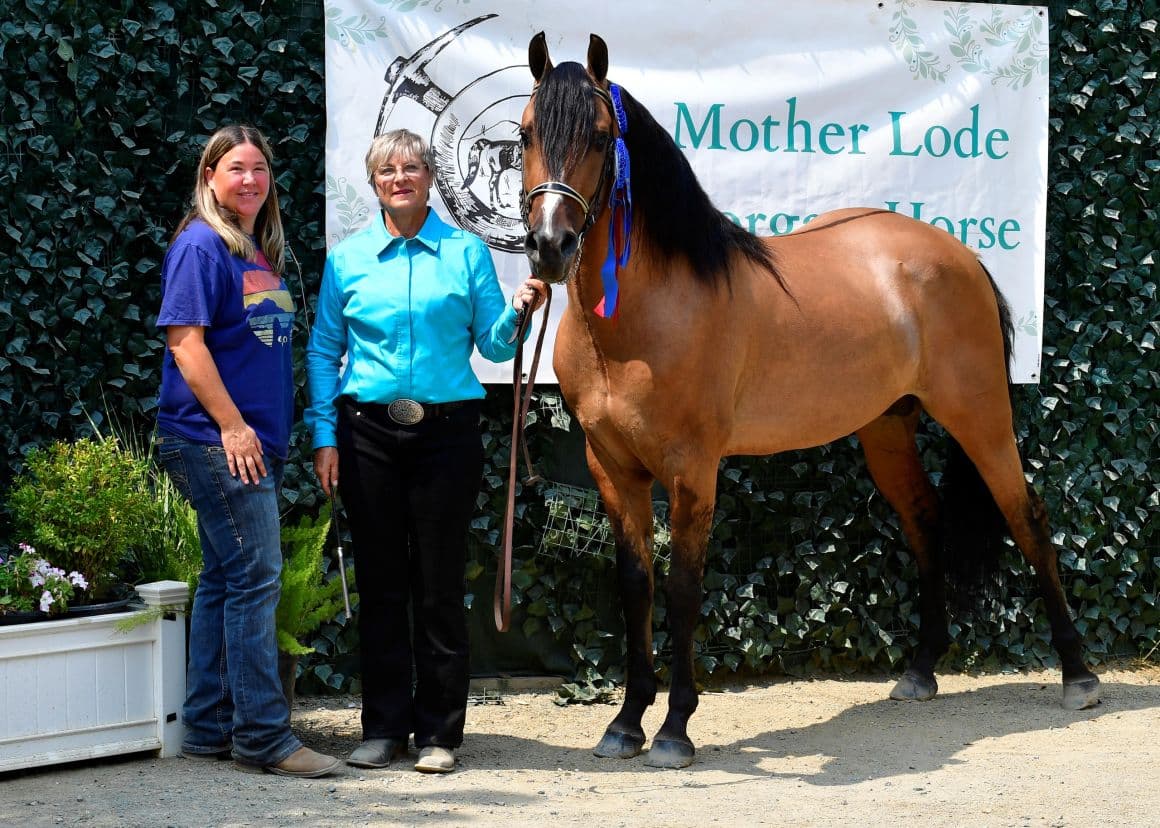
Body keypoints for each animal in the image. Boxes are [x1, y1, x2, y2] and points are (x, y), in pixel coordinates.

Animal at [517, 32, 1101, 769]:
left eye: (599, 136)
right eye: (523, 133)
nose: (549, 246)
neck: (639, 317)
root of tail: (960, 256)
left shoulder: (692, 470)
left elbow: (682, 588)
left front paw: (675, 729)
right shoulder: (611, 467)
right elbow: (634, 585)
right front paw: (625, 723)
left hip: (981, 415)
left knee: (1028, 518)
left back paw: (1078, 676)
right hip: (886, 430)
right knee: (926, 520)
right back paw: (921, 670)